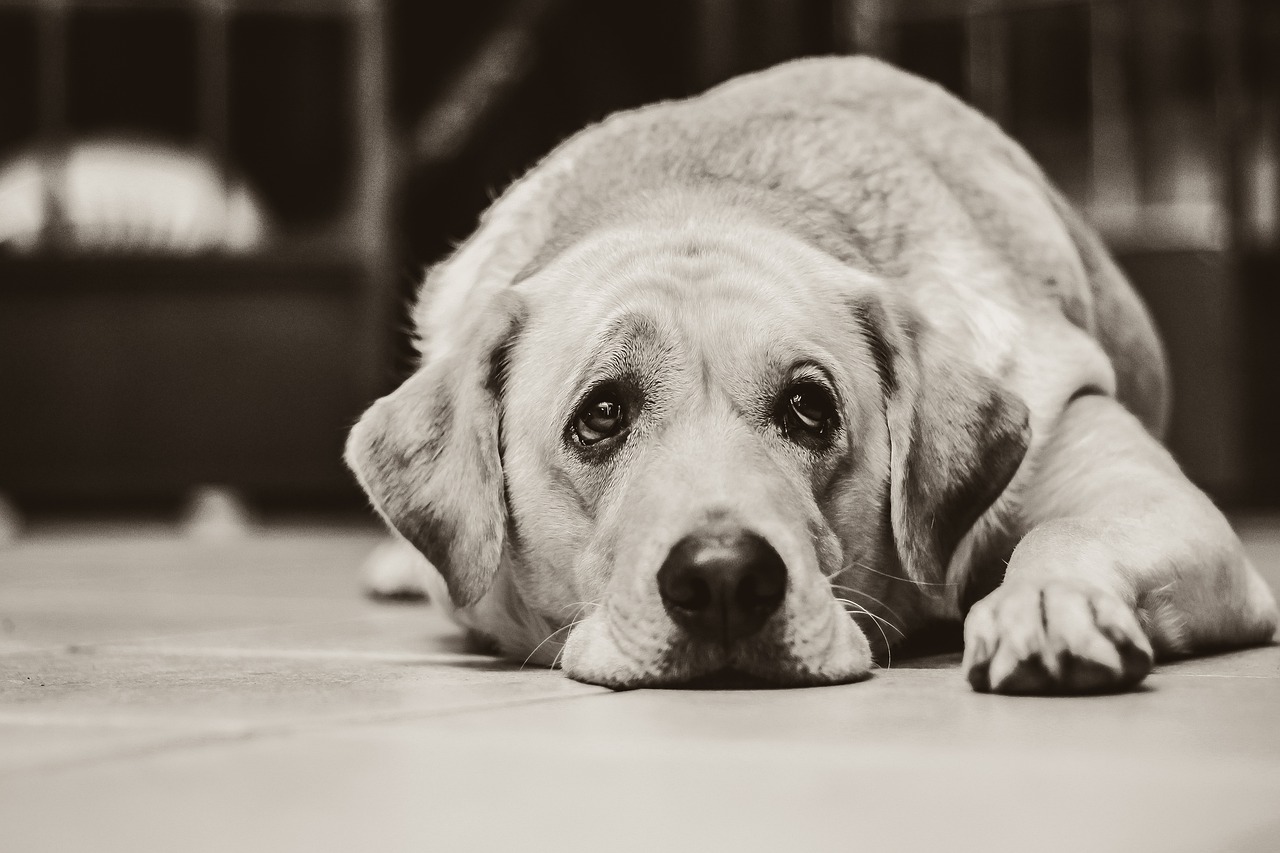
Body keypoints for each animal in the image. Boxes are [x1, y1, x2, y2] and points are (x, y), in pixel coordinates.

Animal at [345, 56, 1274, 691]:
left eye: (808, 407)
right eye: (601, 414)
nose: (723, 579)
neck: (704, 190)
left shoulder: (1145, 489)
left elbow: (1068, 531)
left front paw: (1047, 601)